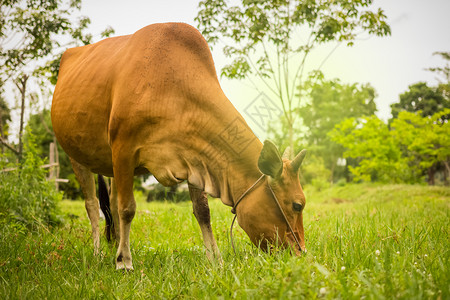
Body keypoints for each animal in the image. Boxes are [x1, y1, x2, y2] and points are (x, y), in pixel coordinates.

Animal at [51, 22, 308, 272]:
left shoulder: (196, 158)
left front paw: (216, 260)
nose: (301, 253)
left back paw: (115, 246)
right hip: (76, 156)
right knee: (93, 205)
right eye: (297, 205)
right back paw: (99, 253)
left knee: (111, 203)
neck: (171, 88)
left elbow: (203, 211)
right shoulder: (123, 149)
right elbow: (127, 208)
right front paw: (125, 262)